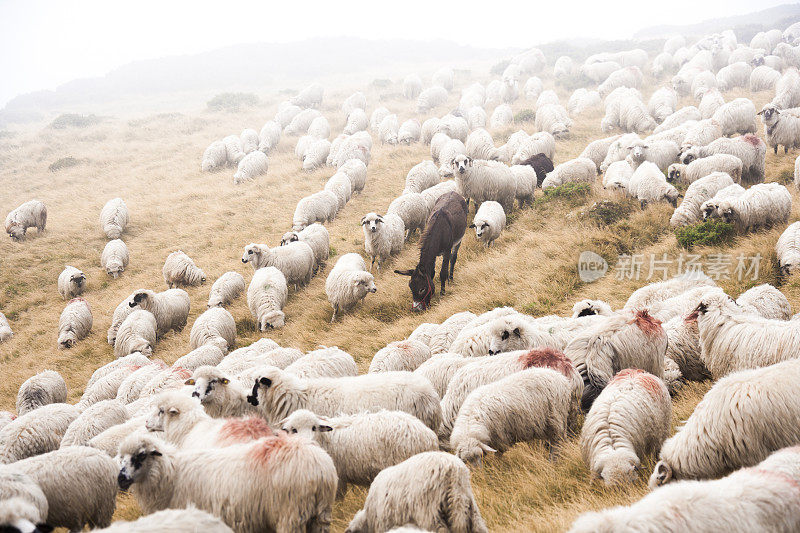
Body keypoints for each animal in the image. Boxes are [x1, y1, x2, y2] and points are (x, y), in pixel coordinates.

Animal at [117, 432, 336, 532]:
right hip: (320, 515)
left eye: (141, 455)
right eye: (121, 457)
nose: (120, 479)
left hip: (291, 514)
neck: (172, 475)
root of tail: (320, 466)